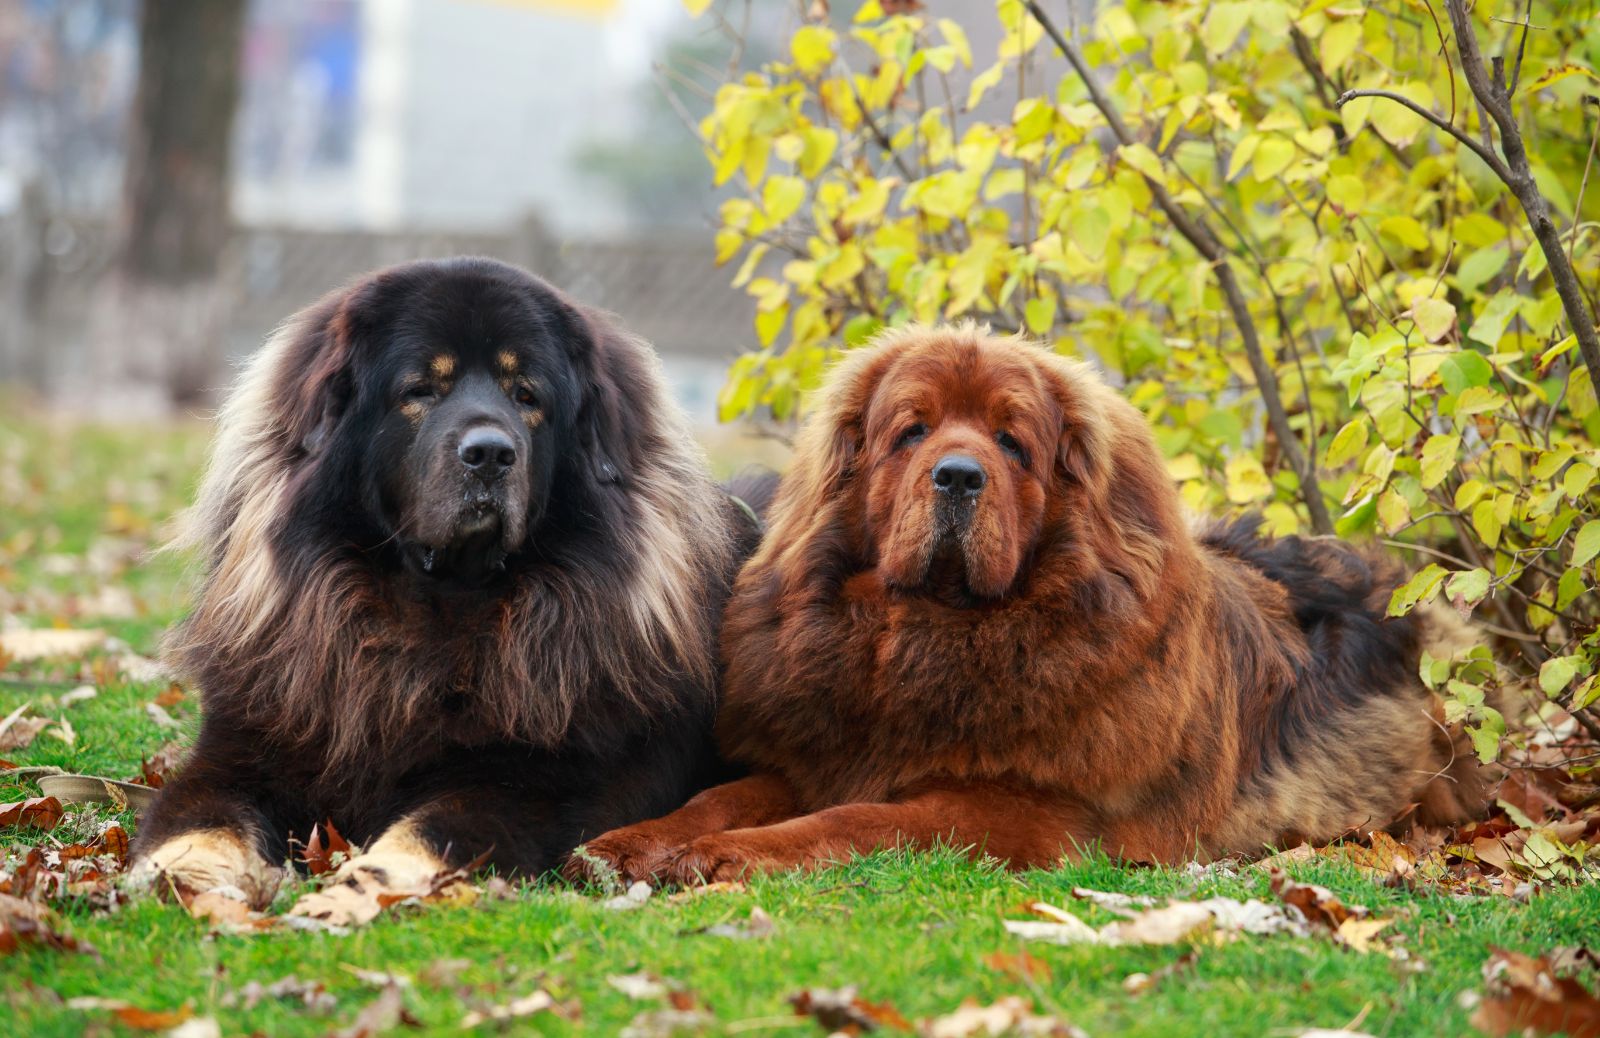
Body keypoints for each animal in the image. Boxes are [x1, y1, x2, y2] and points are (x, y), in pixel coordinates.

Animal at [128, 259, 758, 921]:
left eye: (526, 395)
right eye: (421, 390)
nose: (490, 453)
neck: (437, 613)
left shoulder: (535, 785)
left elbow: (428, 831)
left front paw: (352, 893)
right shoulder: (243, 749)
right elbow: (201, 818)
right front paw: (185, 880)